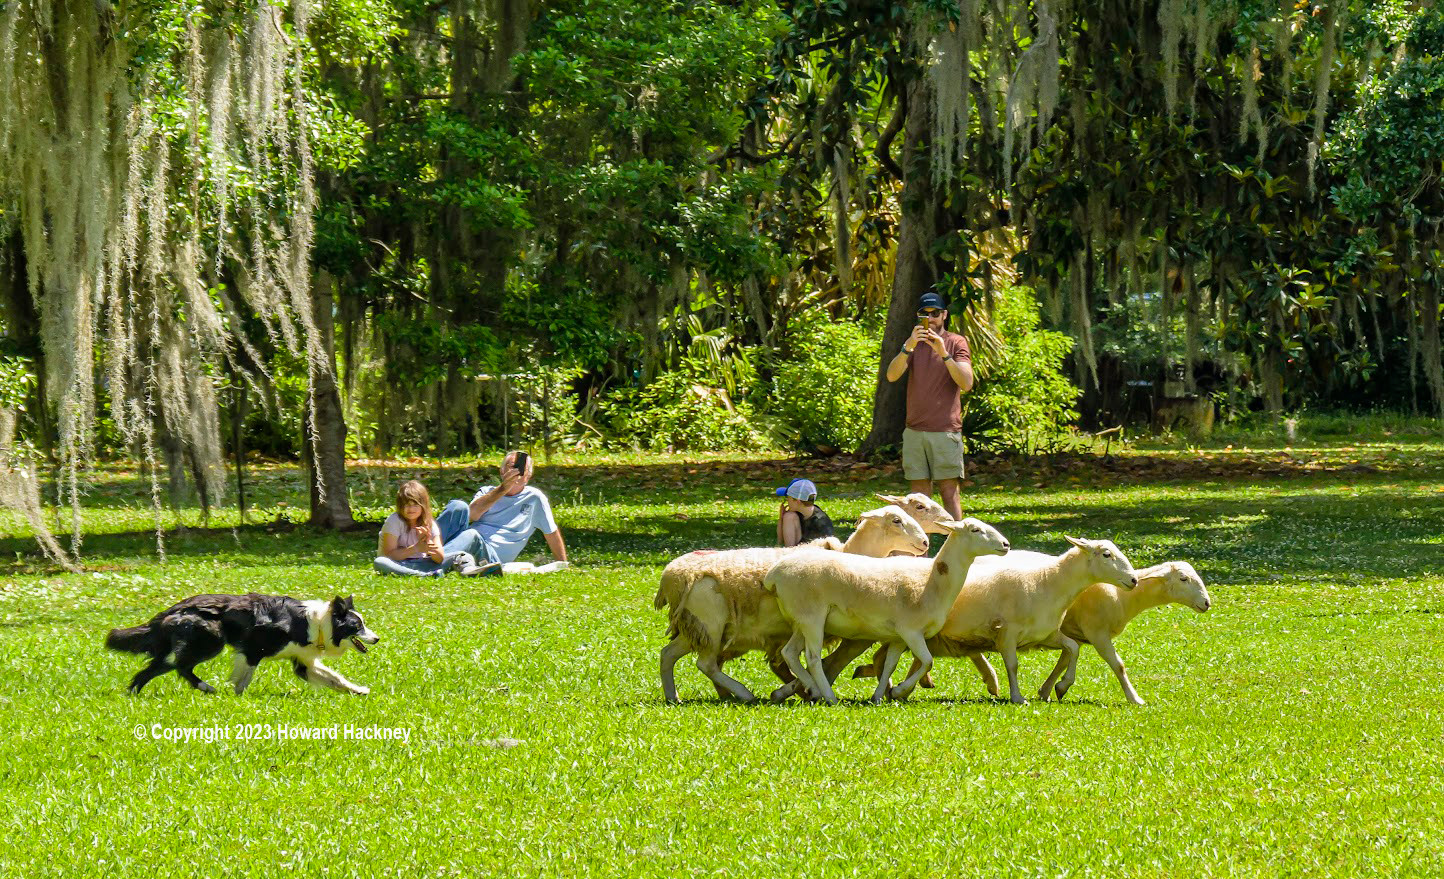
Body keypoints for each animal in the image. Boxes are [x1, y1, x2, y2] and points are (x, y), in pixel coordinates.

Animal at [653, 505, 930, 704]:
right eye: (896, 520)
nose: (926, 542)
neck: (852, 553)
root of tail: (673, 576)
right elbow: (815, 661)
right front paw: (809, 690)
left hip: (695, 626)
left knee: (668, 655)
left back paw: (674, 696)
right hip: (711, 624)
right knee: (706, 664)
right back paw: (743, 693)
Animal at [763, 518, 1011, 705]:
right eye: (975, 529)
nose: (1006, 544)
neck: (931, 581)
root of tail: (773, 574)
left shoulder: (898, 637)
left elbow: (890, 666)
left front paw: (879, 696)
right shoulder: (911, 630)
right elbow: (927, 661)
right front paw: (899, 690)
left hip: (800, 620)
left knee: (789, 653)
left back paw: (811, 688)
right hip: (812, 618)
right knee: (813, 658)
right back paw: (829, 696)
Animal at [852, 537, 1139, 704]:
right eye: (1106, 554)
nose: (1134, 580)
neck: (1046, 582)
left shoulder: (1046, 633)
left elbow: (1073, 648)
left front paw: (1061, 686)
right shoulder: (1008, 633)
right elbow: (1013, 665)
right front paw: (1017, 696)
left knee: (886, 658)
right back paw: (893, 688)